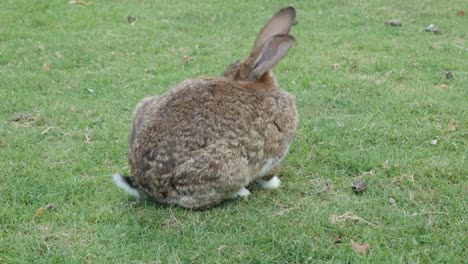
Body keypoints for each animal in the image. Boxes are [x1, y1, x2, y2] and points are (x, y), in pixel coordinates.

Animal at [111, 6, 298, 209]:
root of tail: (146, 187)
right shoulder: (273, 152)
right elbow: (268, 173)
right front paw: (274, 183)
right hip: (228, 163)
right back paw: (242, 192)